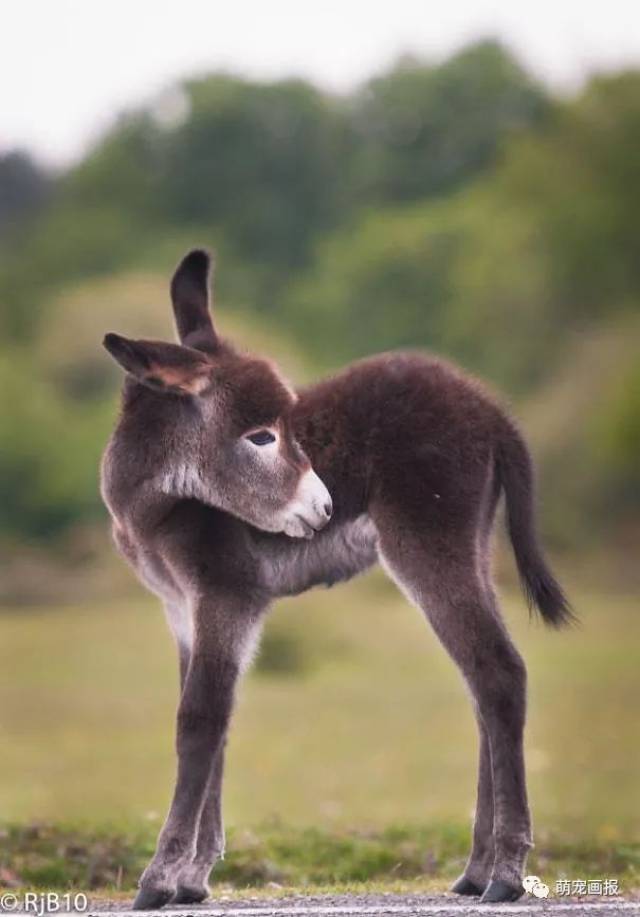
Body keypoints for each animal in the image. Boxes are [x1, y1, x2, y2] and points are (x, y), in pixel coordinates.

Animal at [102, 247, 572, 904]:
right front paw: (194, 880)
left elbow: (199, 722)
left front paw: (161, 880)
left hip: (426, 546)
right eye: (261, 436)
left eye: (282, 429)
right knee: (482, 682)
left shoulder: (226, 597)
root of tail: (491, 409)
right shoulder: (182, 609)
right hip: (471, 547)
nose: (324, 509)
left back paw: (505, 874)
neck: (159, 504)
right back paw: (477, 870)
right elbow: (216, 724)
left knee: (499, 672)